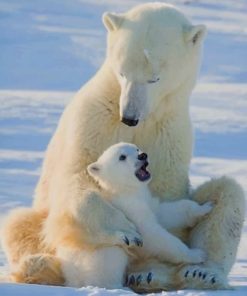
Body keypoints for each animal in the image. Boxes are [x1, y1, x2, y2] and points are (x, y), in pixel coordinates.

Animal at [1, 1, 245, 292]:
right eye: (122, 72)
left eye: (154, 78)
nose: (129, 117)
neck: (146, 115)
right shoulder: (93, 119)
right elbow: (78, 177)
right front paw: (126, 231)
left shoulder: (170, 132)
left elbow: (165, 198)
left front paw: (156, 268)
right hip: (42, 219)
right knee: (20, 224)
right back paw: (39, 266)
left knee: (228, 194)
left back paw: (194, 274)